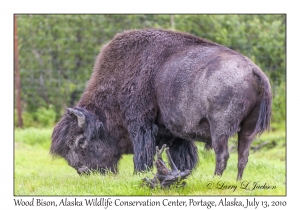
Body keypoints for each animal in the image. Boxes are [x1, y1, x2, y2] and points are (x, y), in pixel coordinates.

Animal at [51, 28, 272, 180]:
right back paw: (237, 181)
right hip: (248, 129)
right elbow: (181, 156)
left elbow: (143, 152)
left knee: (223, 154)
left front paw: (139, 174)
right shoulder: (177, 134)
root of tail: (254, 71)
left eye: (81, 141)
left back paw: (215, 179)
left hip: (220, 129)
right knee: (243, 155)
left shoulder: (140, 123)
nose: (84, 171)